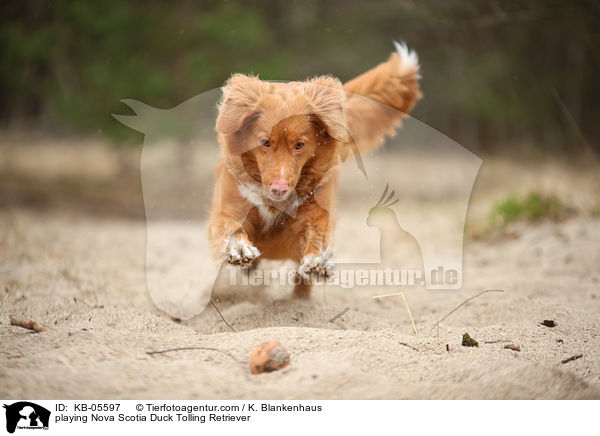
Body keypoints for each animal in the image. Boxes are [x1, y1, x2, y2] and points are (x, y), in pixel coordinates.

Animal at [209, 42, 420, 298]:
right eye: (265, 142)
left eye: (300, 145)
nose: (279, 188)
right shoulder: (230, 209)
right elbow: (232, 229)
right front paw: (239, 249)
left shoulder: (315, 215)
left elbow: (315, 239)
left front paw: (318, 262)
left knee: (301, 279)